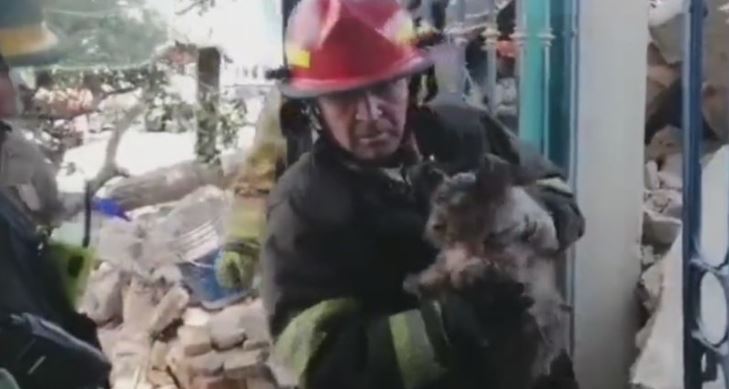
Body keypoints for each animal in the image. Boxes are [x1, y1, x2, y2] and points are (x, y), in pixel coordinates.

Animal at [404, 155, 576, 388]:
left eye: (463, 205)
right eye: (438, 198)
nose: (434, 227)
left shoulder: (515, 254)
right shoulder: (450, 258)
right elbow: (441, 271)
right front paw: (418, 282)